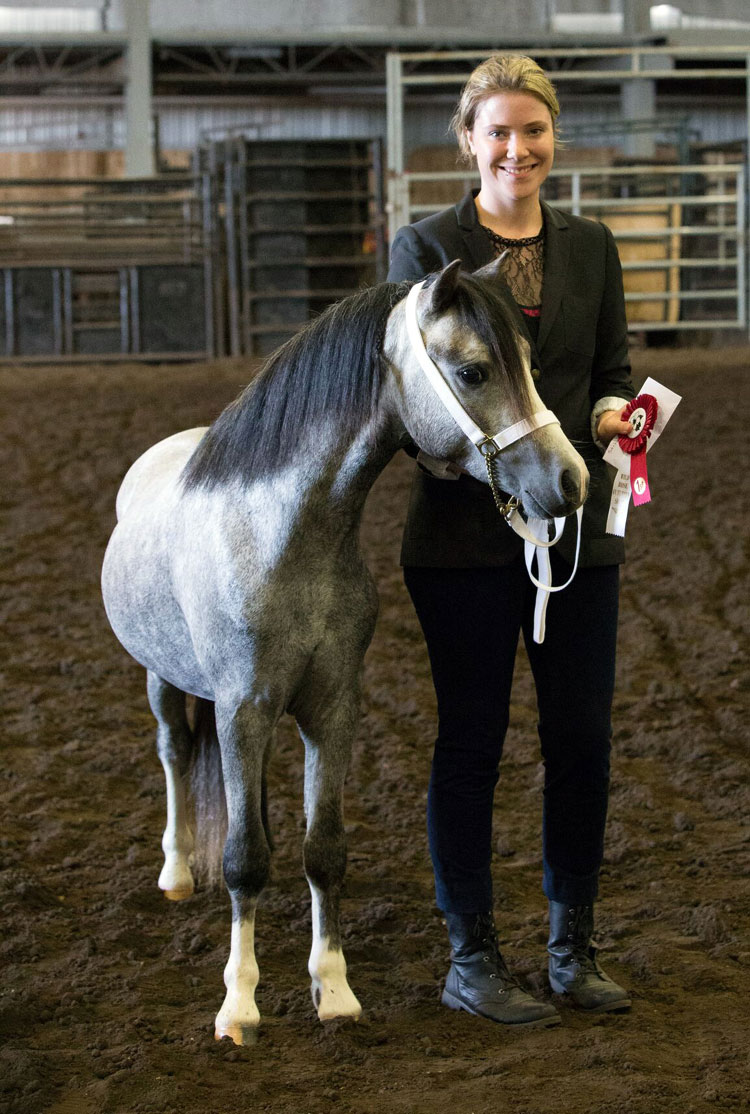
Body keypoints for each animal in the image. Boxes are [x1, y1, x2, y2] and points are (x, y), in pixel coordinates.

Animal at [101, 258, 588, 1046]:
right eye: (474, 371)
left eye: (531, 364)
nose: (571, 481)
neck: (283, 536)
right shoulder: (243, 710)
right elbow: (243, 861)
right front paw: (239, 1008)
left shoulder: (331, 710)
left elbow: (322, 850)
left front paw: (333, 991)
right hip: (164, 680)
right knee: (174, 752)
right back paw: (175, 873)